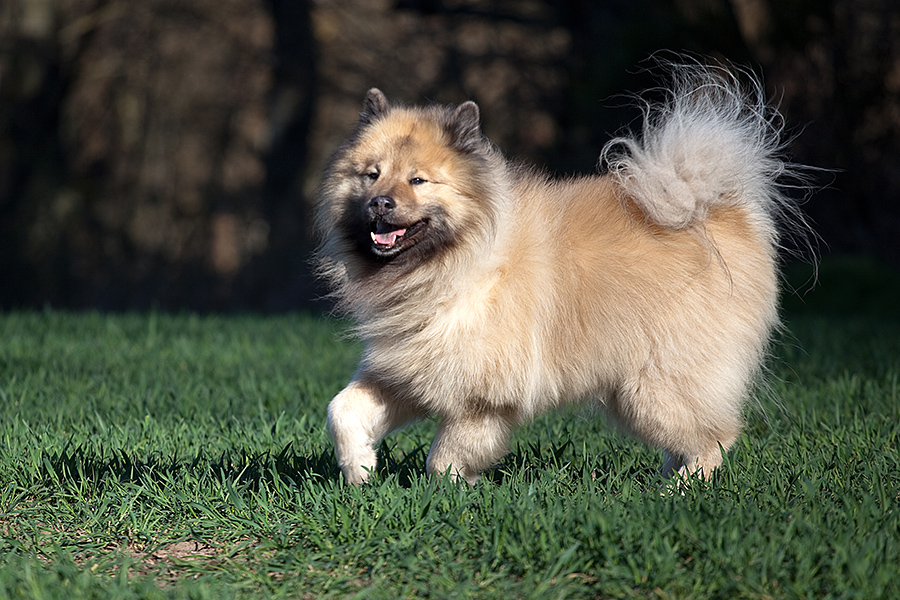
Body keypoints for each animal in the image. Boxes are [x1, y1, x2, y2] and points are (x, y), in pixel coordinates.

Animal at [314, 59, 800, 482]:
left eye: (417, 181)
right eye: (371, 175)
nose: (380, 203)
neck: (456, 264)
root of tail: (719, 209)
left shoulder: (479, 399)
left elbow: (443, 458)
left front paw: (453, 490)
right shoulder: (406, 372)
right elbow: (341, 411)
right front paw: (360, 469)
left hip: (653, 387)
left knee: (715, 440)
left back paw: (677, 489)